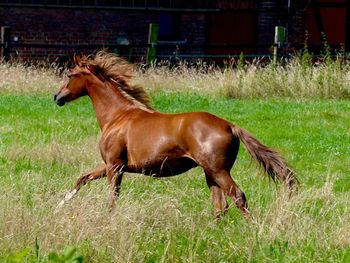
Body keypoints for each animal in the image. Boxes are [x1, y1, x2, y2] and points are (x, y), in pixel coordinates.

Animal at [53, 51, 296, 219]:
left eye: (70, 74)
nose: (56, 97)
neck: (118, 116)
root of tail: (230, 125)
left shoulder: (115, 165)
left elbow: (112, 198)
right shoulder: (112, 165)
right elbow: (83, 178)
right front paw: (59, 205)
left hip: (218, 171)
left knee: (238, 197)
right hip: (211, 172)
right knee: (220, 206)